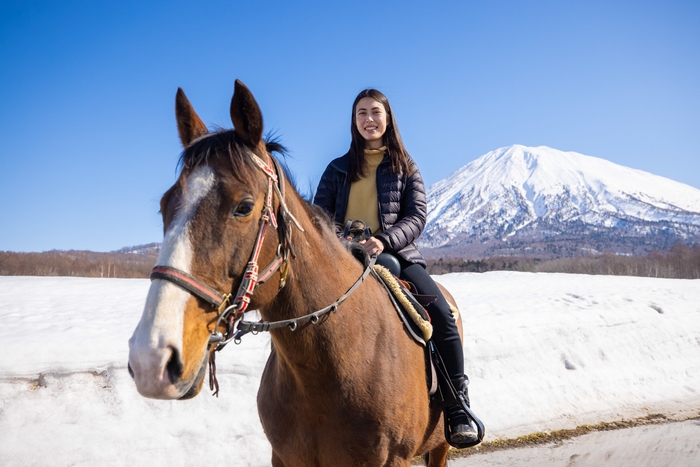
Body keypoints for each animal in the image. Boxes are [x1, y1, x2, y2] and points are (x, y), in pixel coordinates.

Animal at [128, 80, 466, 466]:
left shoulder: (394, 459)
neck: (325, 368)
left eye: (244, 206)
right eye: (164, 205)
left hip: (439, 447)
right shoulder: (285, 457)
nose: (151, 359)